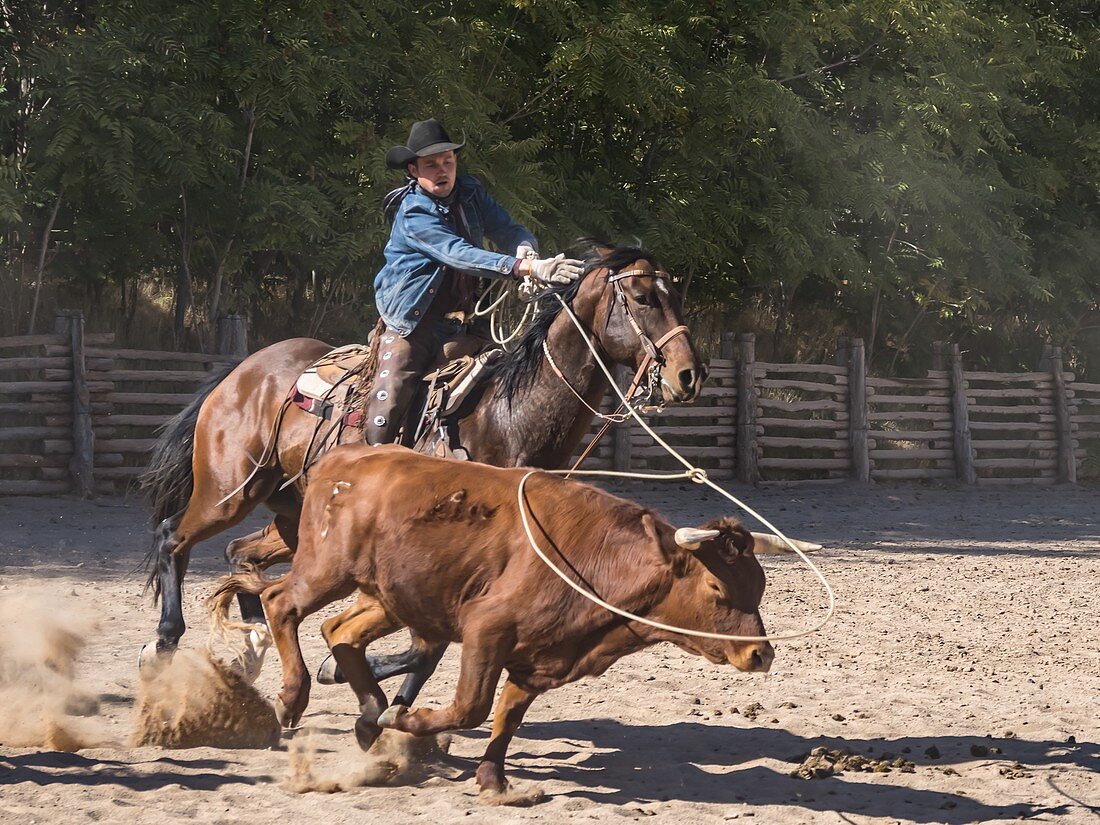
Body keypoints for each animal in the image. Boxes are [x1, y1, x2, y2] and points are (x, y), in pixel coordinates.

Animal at [139, 242, 704, 682]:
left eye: (677, 297)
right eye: (643, 297)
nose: (689, 375)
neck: (507, 417)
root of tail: (243, 372)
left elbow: (427, 649)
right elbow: (422, 644)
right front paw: (340, 666)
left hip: (291, 514)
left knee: (240, 553)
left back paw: (253, 641)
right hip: (228, 492)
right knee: (173, 536)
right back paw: (163, 643)